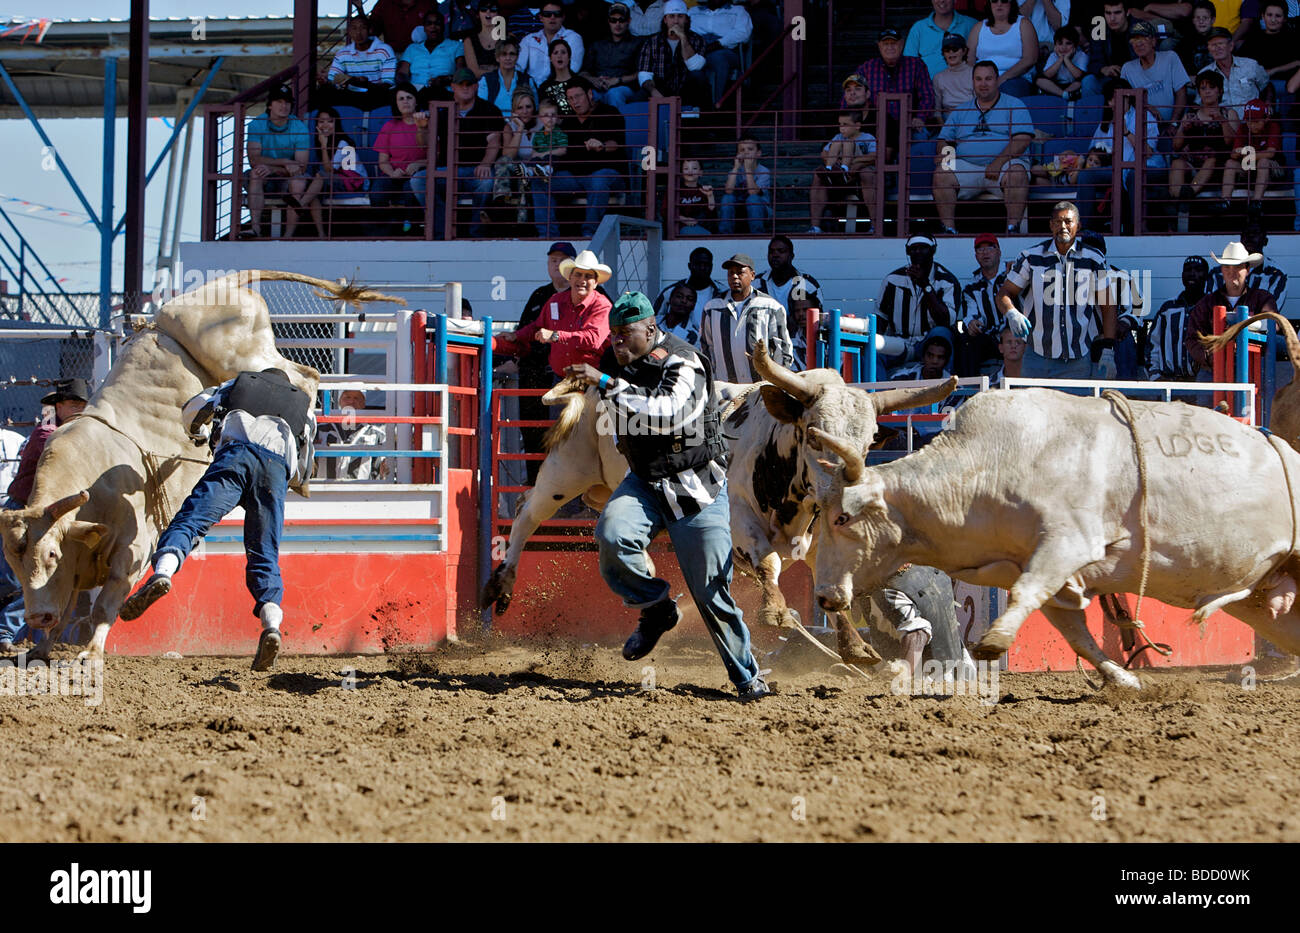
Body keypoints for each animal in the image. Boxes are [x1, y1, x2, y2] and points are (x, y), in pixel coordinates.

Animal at [0, 274, 397, 662]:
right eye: (14, 564)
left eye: (51, 554)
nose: (37, 616)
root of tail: (227, 282)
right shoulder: (77, 566)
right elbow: (67, 607)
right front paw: (41, 649)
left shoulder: (131, 549)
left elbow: (105, 604)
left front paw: (92, 651)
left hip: (237, 354)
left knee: (304, 375)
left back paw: (303, 465)